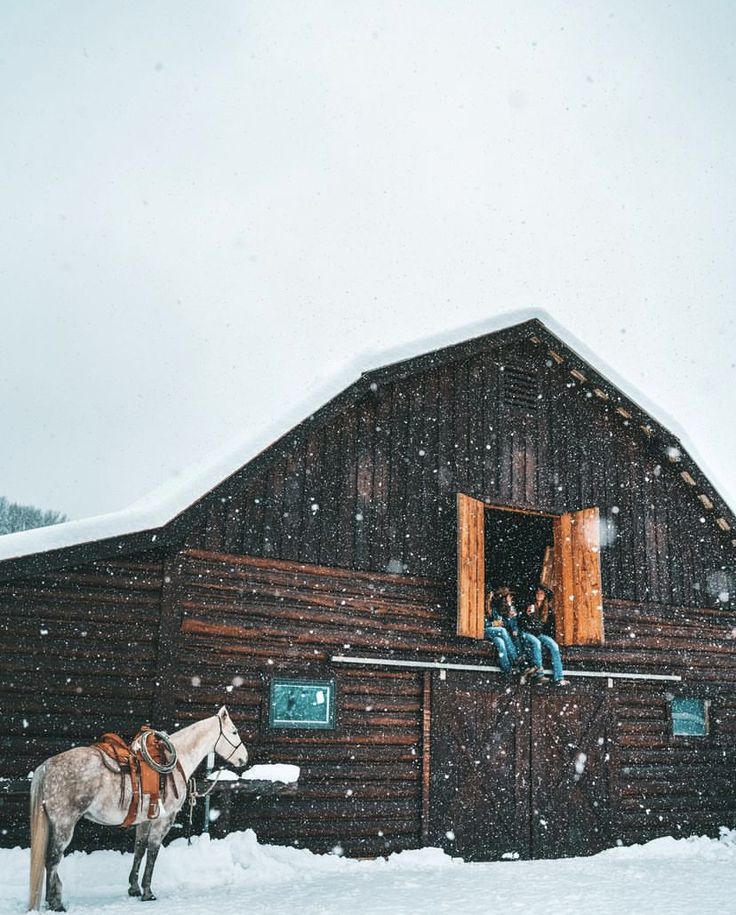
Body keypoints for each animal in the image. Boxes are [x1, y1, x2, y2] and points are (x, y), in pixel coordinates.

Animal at [27, 708, 249, 908]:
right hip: (64, 825)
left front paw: (134, 888)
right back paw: (56, 904)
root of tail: (47, 766)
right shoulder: (163, 821)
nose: (244, 758)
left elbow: (139, 849)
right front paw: (148, 892)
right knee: (52, 860)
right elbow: (152, 852)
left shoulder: (145, 820)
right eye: (234, 732)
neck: (176, 762)